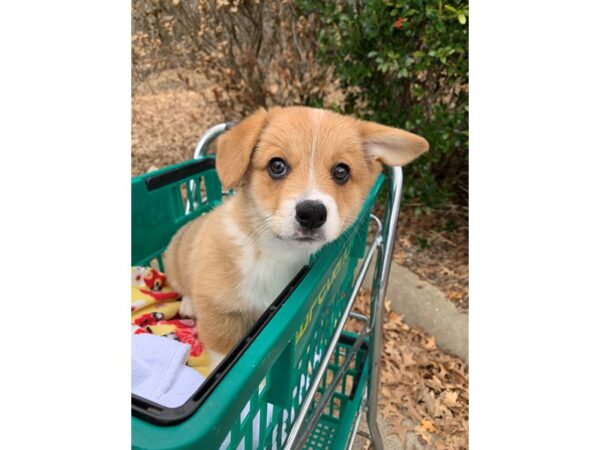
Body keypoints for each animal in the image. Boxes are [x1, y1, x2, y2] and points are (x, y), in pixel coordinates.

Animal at [163, 107, 426, 368]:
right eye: (276, 165)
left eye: (342, 171)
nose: (312, 213)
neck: (275, 253)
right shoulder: (218, 313)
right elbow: (221, 356)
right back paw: (187, 304)